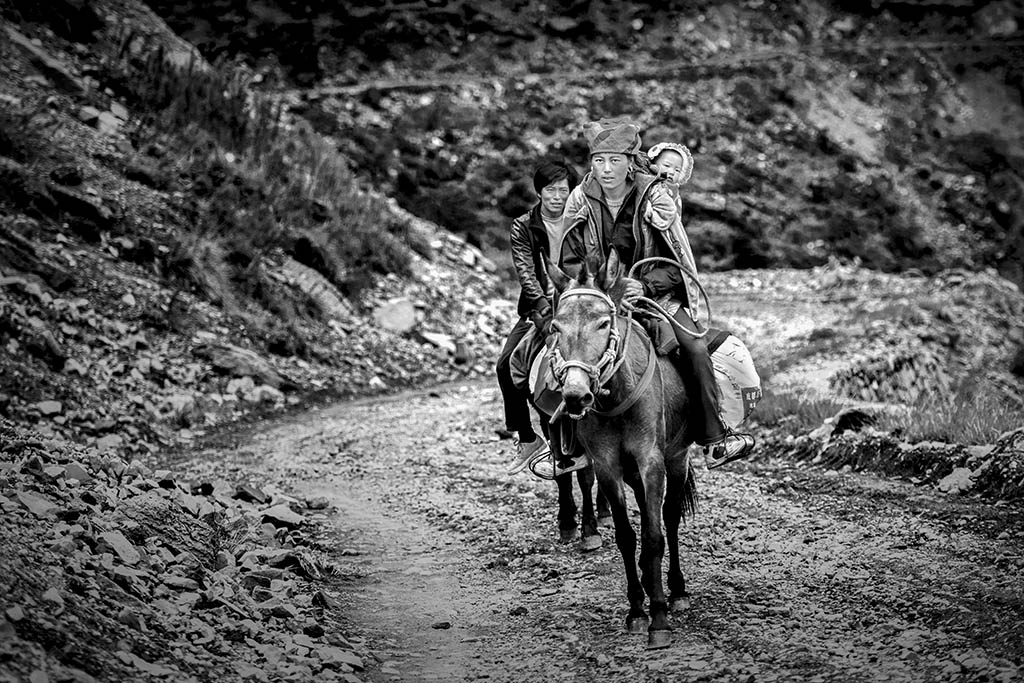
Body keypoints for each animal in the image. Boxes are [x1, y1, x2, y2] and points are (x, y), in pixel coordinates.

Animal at [544, 250, 704, 651]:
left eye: (604, 323)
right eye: (555, 326)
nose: (575, 395)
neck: (616, 398)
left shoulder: (651, 463)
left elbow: (653, 536)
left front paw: (659, 617)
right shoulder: (608, 467)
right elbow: (626, 536)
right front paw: (636, 610)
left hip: (677, 459)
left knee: (670, 518)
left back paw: (676, 591)